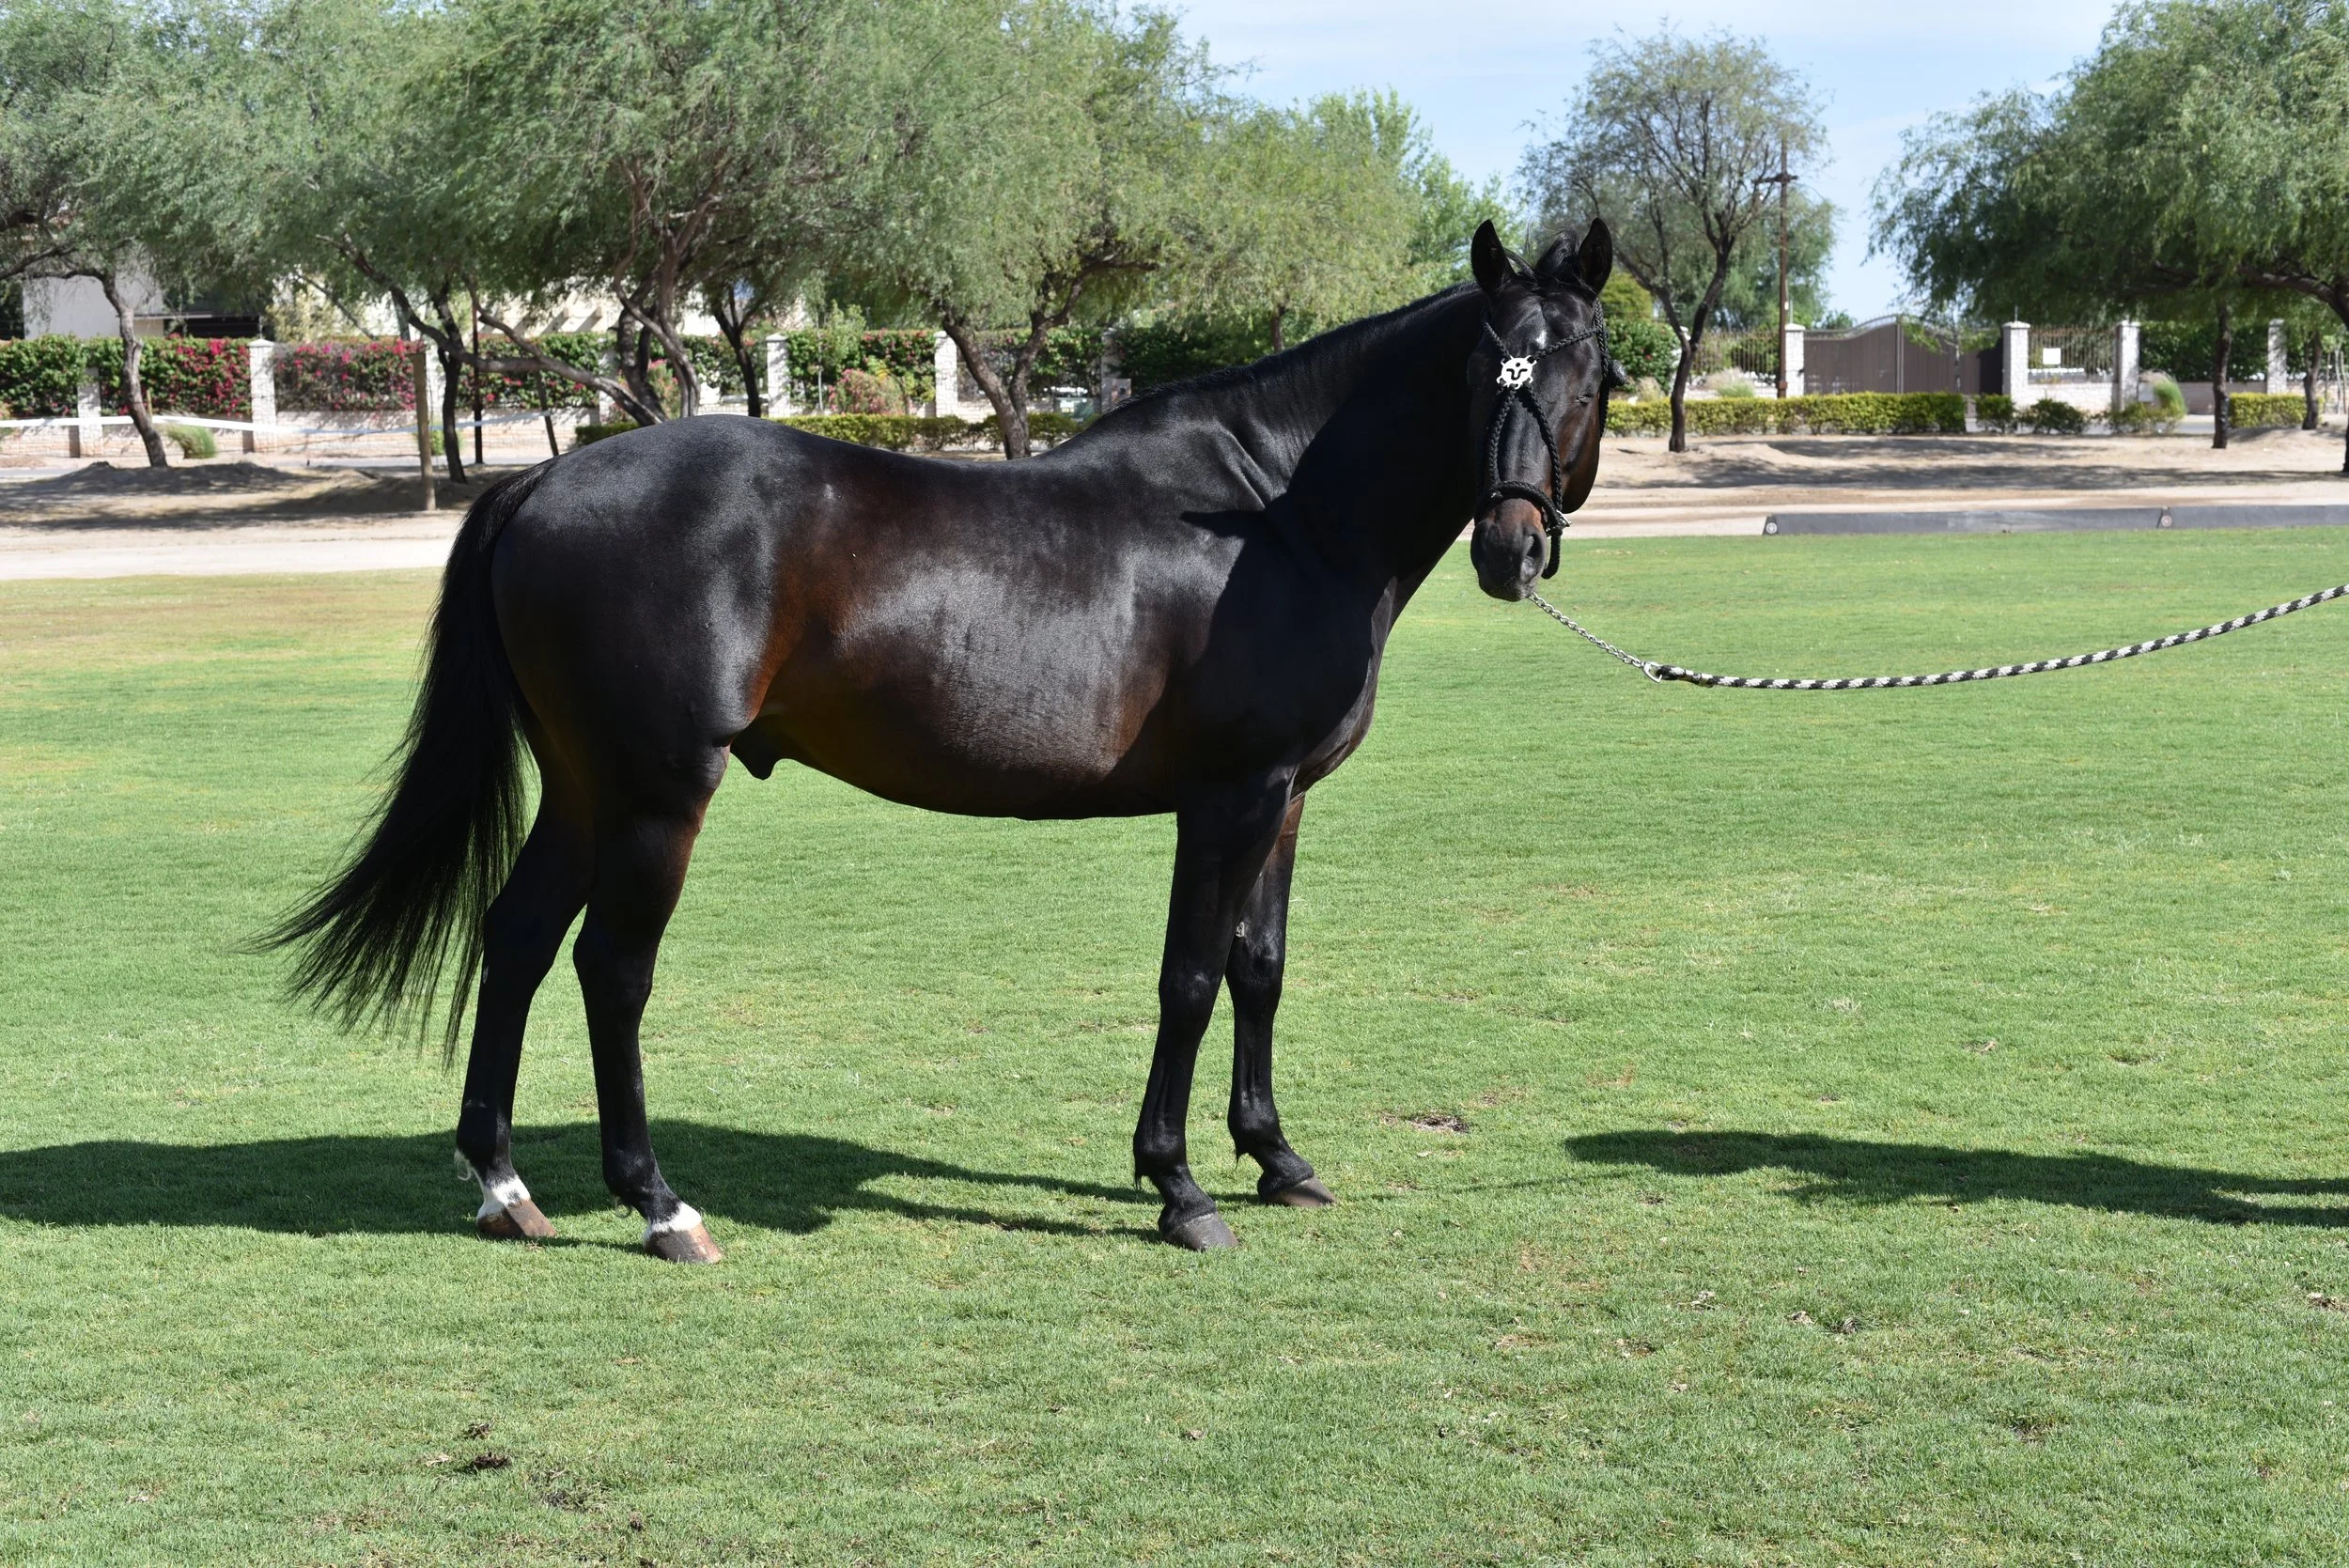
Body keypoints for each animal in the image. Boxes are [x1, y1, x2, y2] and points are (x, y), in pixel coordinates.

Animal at [270, 219, 1623, 1259]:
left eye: (1587, 370)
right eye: (1483, 373)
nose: (1512, 549)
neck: (1274, 516)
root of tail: (541, 483)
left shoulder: (1286, 797)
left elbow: (1259, 970)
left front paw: (1277, 1157)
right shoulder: (1231, 796)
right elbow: (1188, 977)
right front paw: (1180, 1187)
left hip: (586, 784)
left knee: (517, 938)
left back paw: (505, 1186)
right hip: (656, 790)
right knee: (612, 965)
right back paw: (659, 1205)